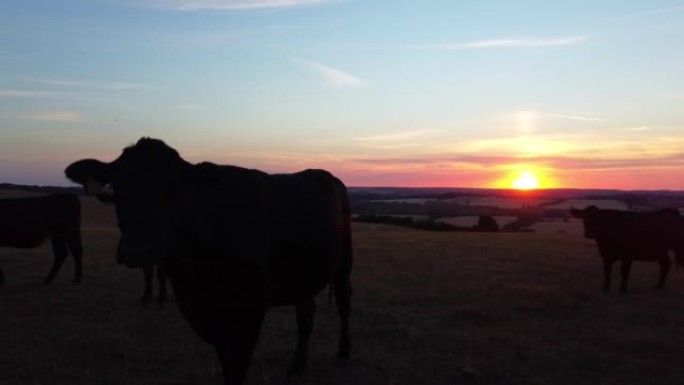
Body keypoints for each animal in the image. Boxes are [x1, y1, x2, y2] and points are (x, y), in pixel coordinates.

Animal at [64, 136, 352, 382]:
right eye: (118, 189)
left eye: (174, 191)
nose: (137, 251)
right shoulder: (208, 313)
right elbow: (226, 360)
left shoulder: (252, 306)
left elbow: (237, 365)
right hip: (303, 270)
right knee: (306, 311)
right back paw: (297, 365)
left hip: (343, 261)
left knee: (343, 300)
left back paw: (343, 353)